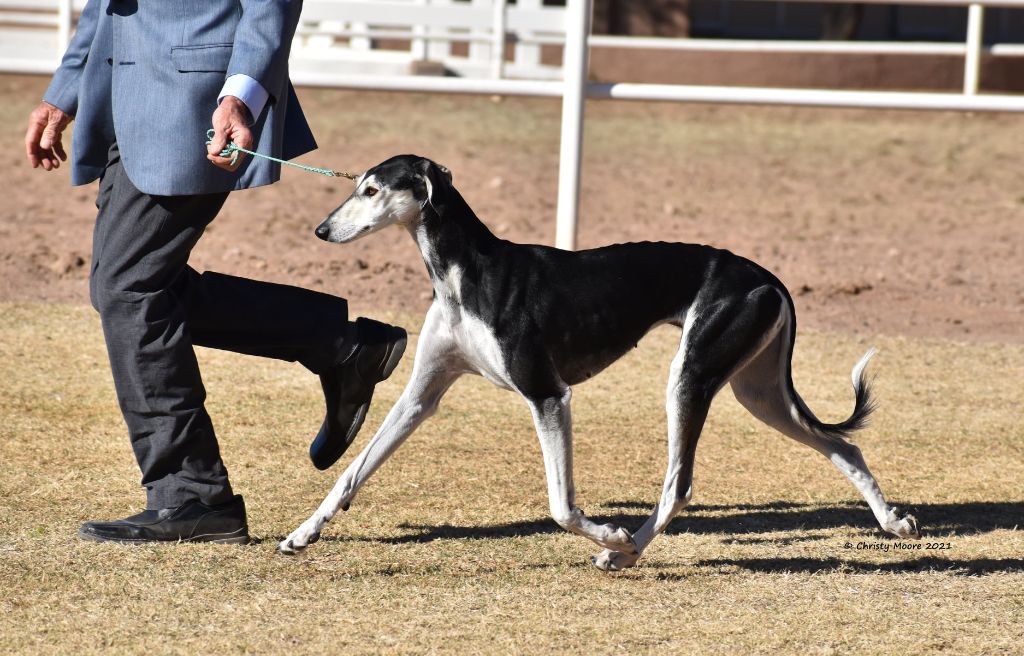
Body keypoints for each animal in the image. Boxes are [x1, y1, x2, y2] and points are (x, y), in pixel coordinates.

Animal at [278, 154, 921, 569]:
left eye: (372, 191)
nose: (321, 229)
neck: (467, 271)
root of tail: (767, 277)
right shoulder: (421, 397)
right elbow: (352, 473)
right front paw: (302, 535)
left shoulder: (548, 394)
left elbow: (561, 505)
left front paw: (610, 533)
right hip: (759, 394)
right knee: (842, 445)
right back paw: (893, 521)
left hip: (690, 378)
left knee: (680, 483)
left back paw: (627, 550)